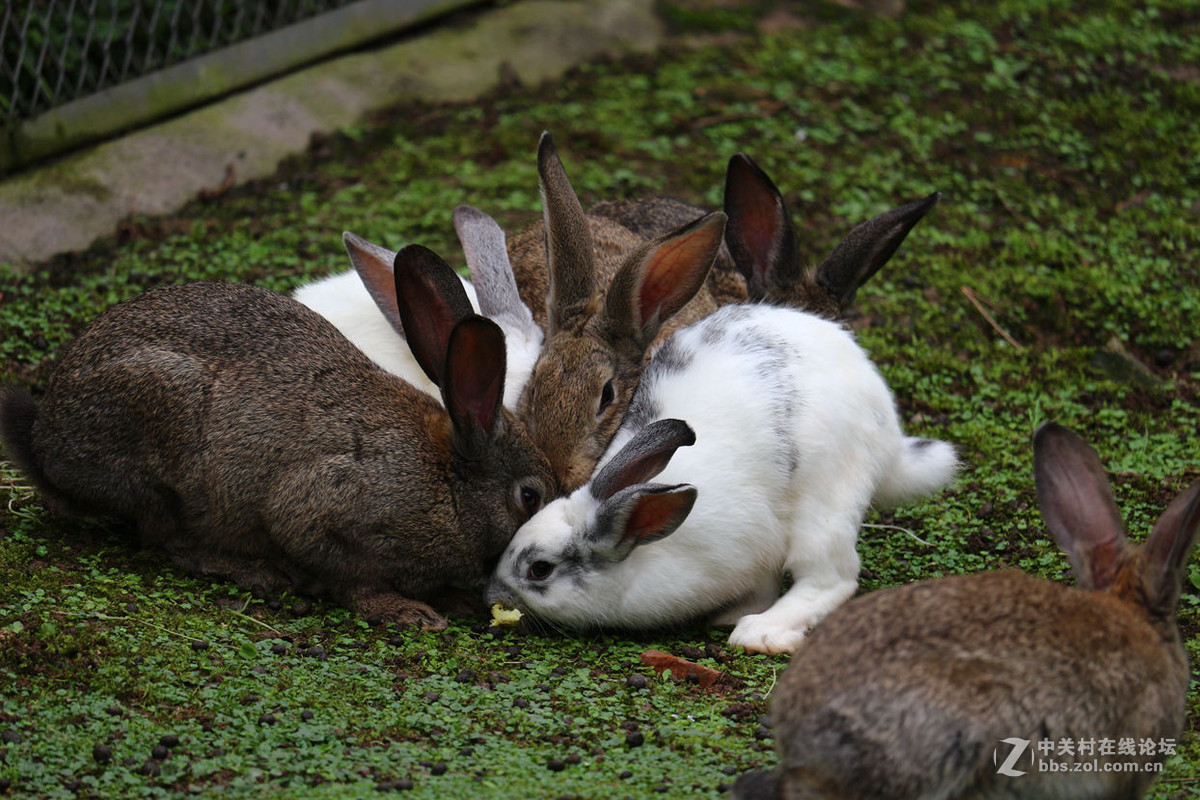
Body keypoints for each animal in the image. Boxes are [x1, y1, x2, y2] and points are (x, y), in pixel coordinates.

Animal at [0, 244, 559, 633]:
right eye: (528, 497)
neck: (448, 481)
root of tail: (47, 447)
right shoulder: (321, 508)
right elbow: (348, 575)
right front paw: (408, 612)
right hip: (162, 442)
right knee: (165, 540)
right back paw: (257, 573)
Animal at [482, 303, 960, 652]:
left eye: (540, 570)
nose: (491, 596)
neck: (647, 548)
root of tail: (888, 428)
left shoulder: (753, 542)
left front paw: (747, 619)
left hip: (827, 501)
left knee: (834, 577)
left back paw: (761, 633)